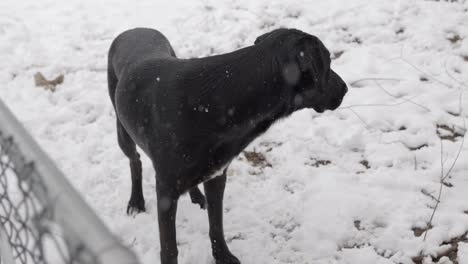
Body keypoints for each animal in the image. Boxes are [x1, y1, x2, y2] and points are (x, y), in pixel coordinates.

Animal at [107, 27, 348, 262]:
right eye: (327, 63)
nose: (345, 89)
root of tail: (133, 29)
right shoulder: (166, 190)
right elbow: (169, 248)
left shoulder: (217, 175)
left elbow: (216, 224)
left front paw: (222, 255)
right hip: (123, 132)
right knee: (135, 161)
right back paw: (136, 201)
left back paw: (196, 196)